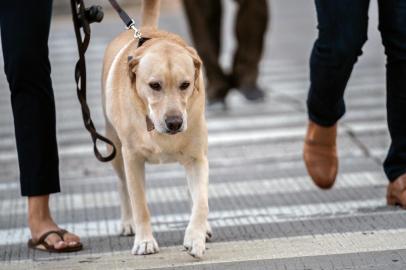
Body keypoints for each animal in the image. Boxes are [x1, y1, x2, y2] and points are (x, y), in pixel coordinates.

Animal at [101, 0, 211, 258]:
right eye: (154, 85)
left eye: (185, 84)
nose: (175, 123)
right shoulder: (132, 159)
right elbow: (140, 204)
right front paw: (144, 241)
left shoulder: (197, 157)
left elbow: (201, 201)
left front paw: (195, 237)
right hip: (115, 148)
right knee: (122, 185)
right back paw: (127, 222)